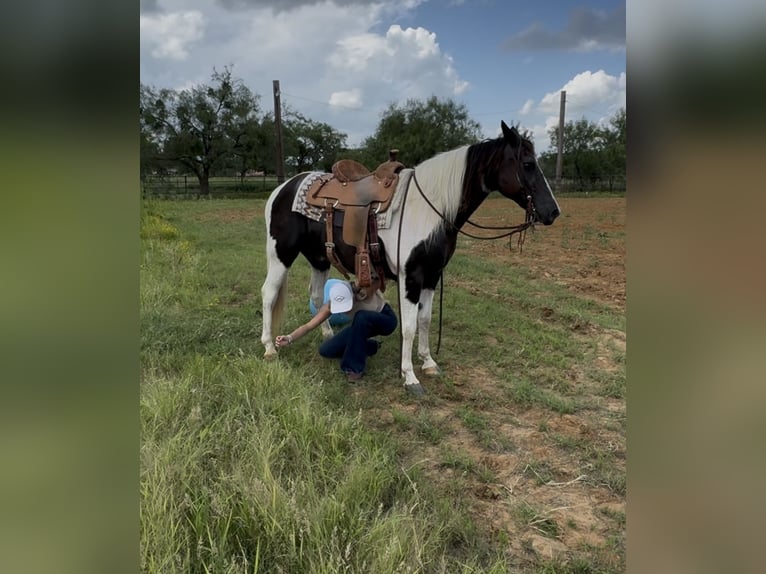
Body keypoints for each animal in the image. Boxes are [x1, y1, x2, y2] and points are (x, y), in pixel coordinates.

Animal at [260, 120, 560, 394]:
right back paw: (269, 347)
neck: (430, 209)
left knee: (316, 294)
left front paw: (428, 362)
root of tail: (283, 188)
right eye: (528, 164)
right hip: (280, 254)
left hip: (319, 258)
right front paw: (409, 376)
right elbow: (409, 326)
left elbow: (425, 320)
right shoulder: (411, 277)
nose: (553, 211)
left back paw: (327, 336)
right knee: (269, 292)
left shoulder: (432, 275)